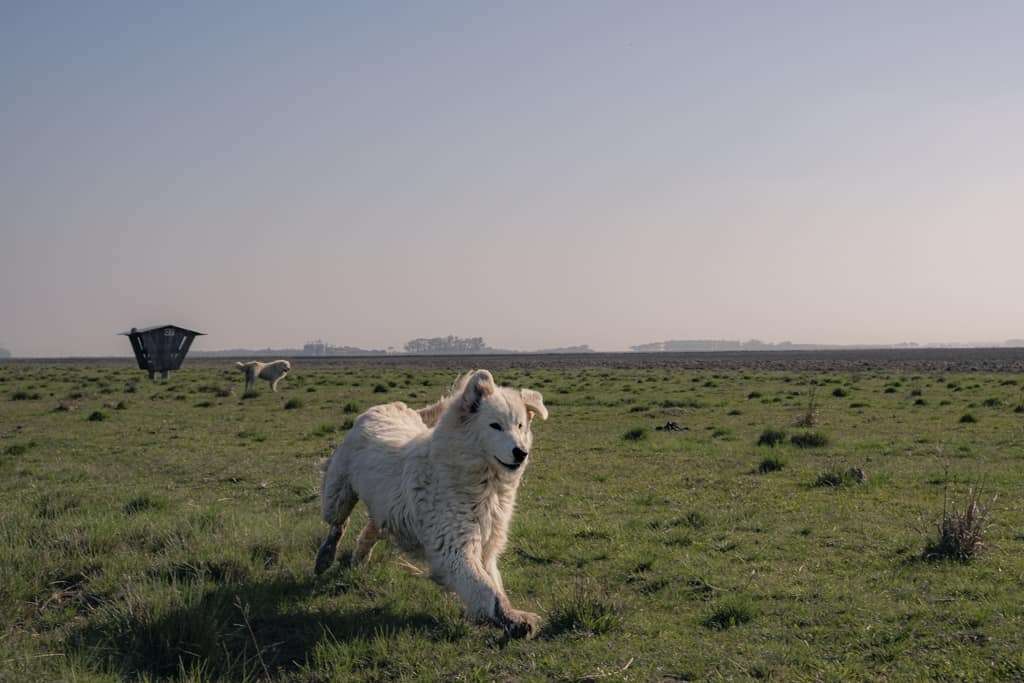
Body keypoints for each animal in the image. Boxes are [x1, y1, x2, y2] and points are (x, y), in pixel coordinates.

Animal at [313, 370, 548, 638]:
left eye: (520, 426)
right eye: (495, 425)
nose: (521, 452)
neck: (481, 481)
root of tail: (389, 405)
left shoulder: (486, 548)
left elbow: (494, 585)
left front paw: (510, 616)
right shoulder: (454, 550)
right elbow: (486, 590)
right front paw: (514, 620)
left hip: (385, 508)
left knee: (372, 526)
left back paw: (360, 557)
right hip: (338, 496)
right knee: (338, 524)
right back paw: (325, 557)